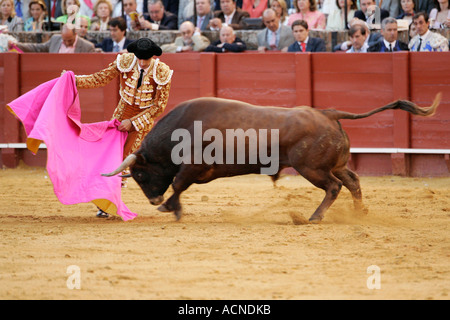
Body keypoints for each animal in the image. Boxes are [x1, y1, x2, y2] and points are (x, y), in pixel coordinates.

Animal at [102, 95, 440, 222]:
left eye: (141, 174)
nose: (153, 200)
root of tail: (328, 113)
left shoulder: (192, 166)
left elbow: (178, 183)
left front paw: (171, 208)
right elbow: (180, 184)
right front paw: (172, 207)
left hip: (311, 168)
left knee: (333, 187)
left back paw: (313, 217)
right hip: (335, 164)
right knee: (353, 182)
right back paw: (358, 213)